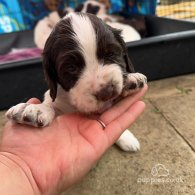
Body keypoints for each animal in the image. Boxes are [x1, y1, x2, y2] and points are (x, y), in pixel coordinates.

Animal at [6, 12, 146, 152]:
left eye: (111, 54)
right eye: (71, 68)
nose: (107, 93)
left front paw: (130, 80)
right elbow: (51, 104)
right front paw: (37, 109)